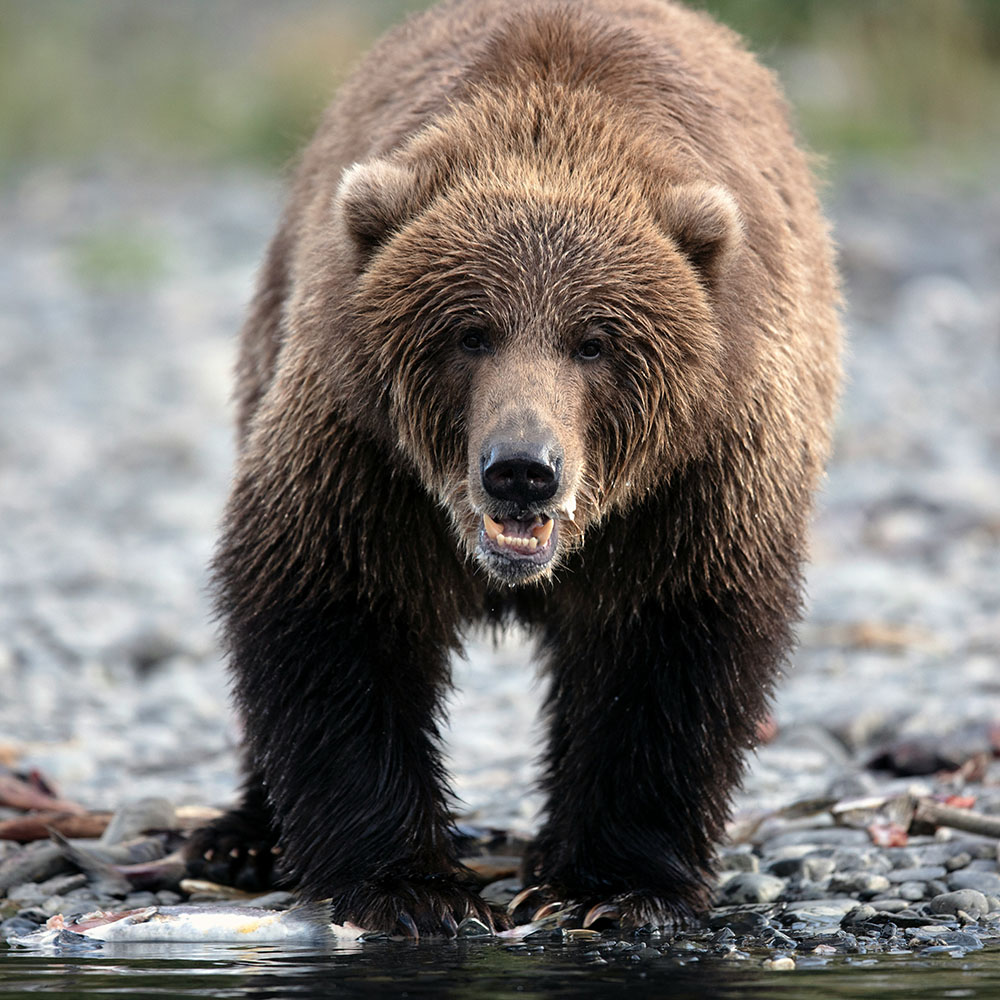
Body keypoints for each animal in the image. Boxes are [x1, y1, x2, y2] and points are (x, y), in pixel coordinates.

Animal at [186, 0, 836, 936]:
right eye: (470, 332)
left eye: (594, 341)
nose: (522, 469)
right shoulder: (364, 456)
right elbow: (330, 612)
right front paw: (407, 886)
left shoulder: (696, 478)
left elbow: (669, 650)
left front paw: (610, 889)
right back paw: (238, 838)